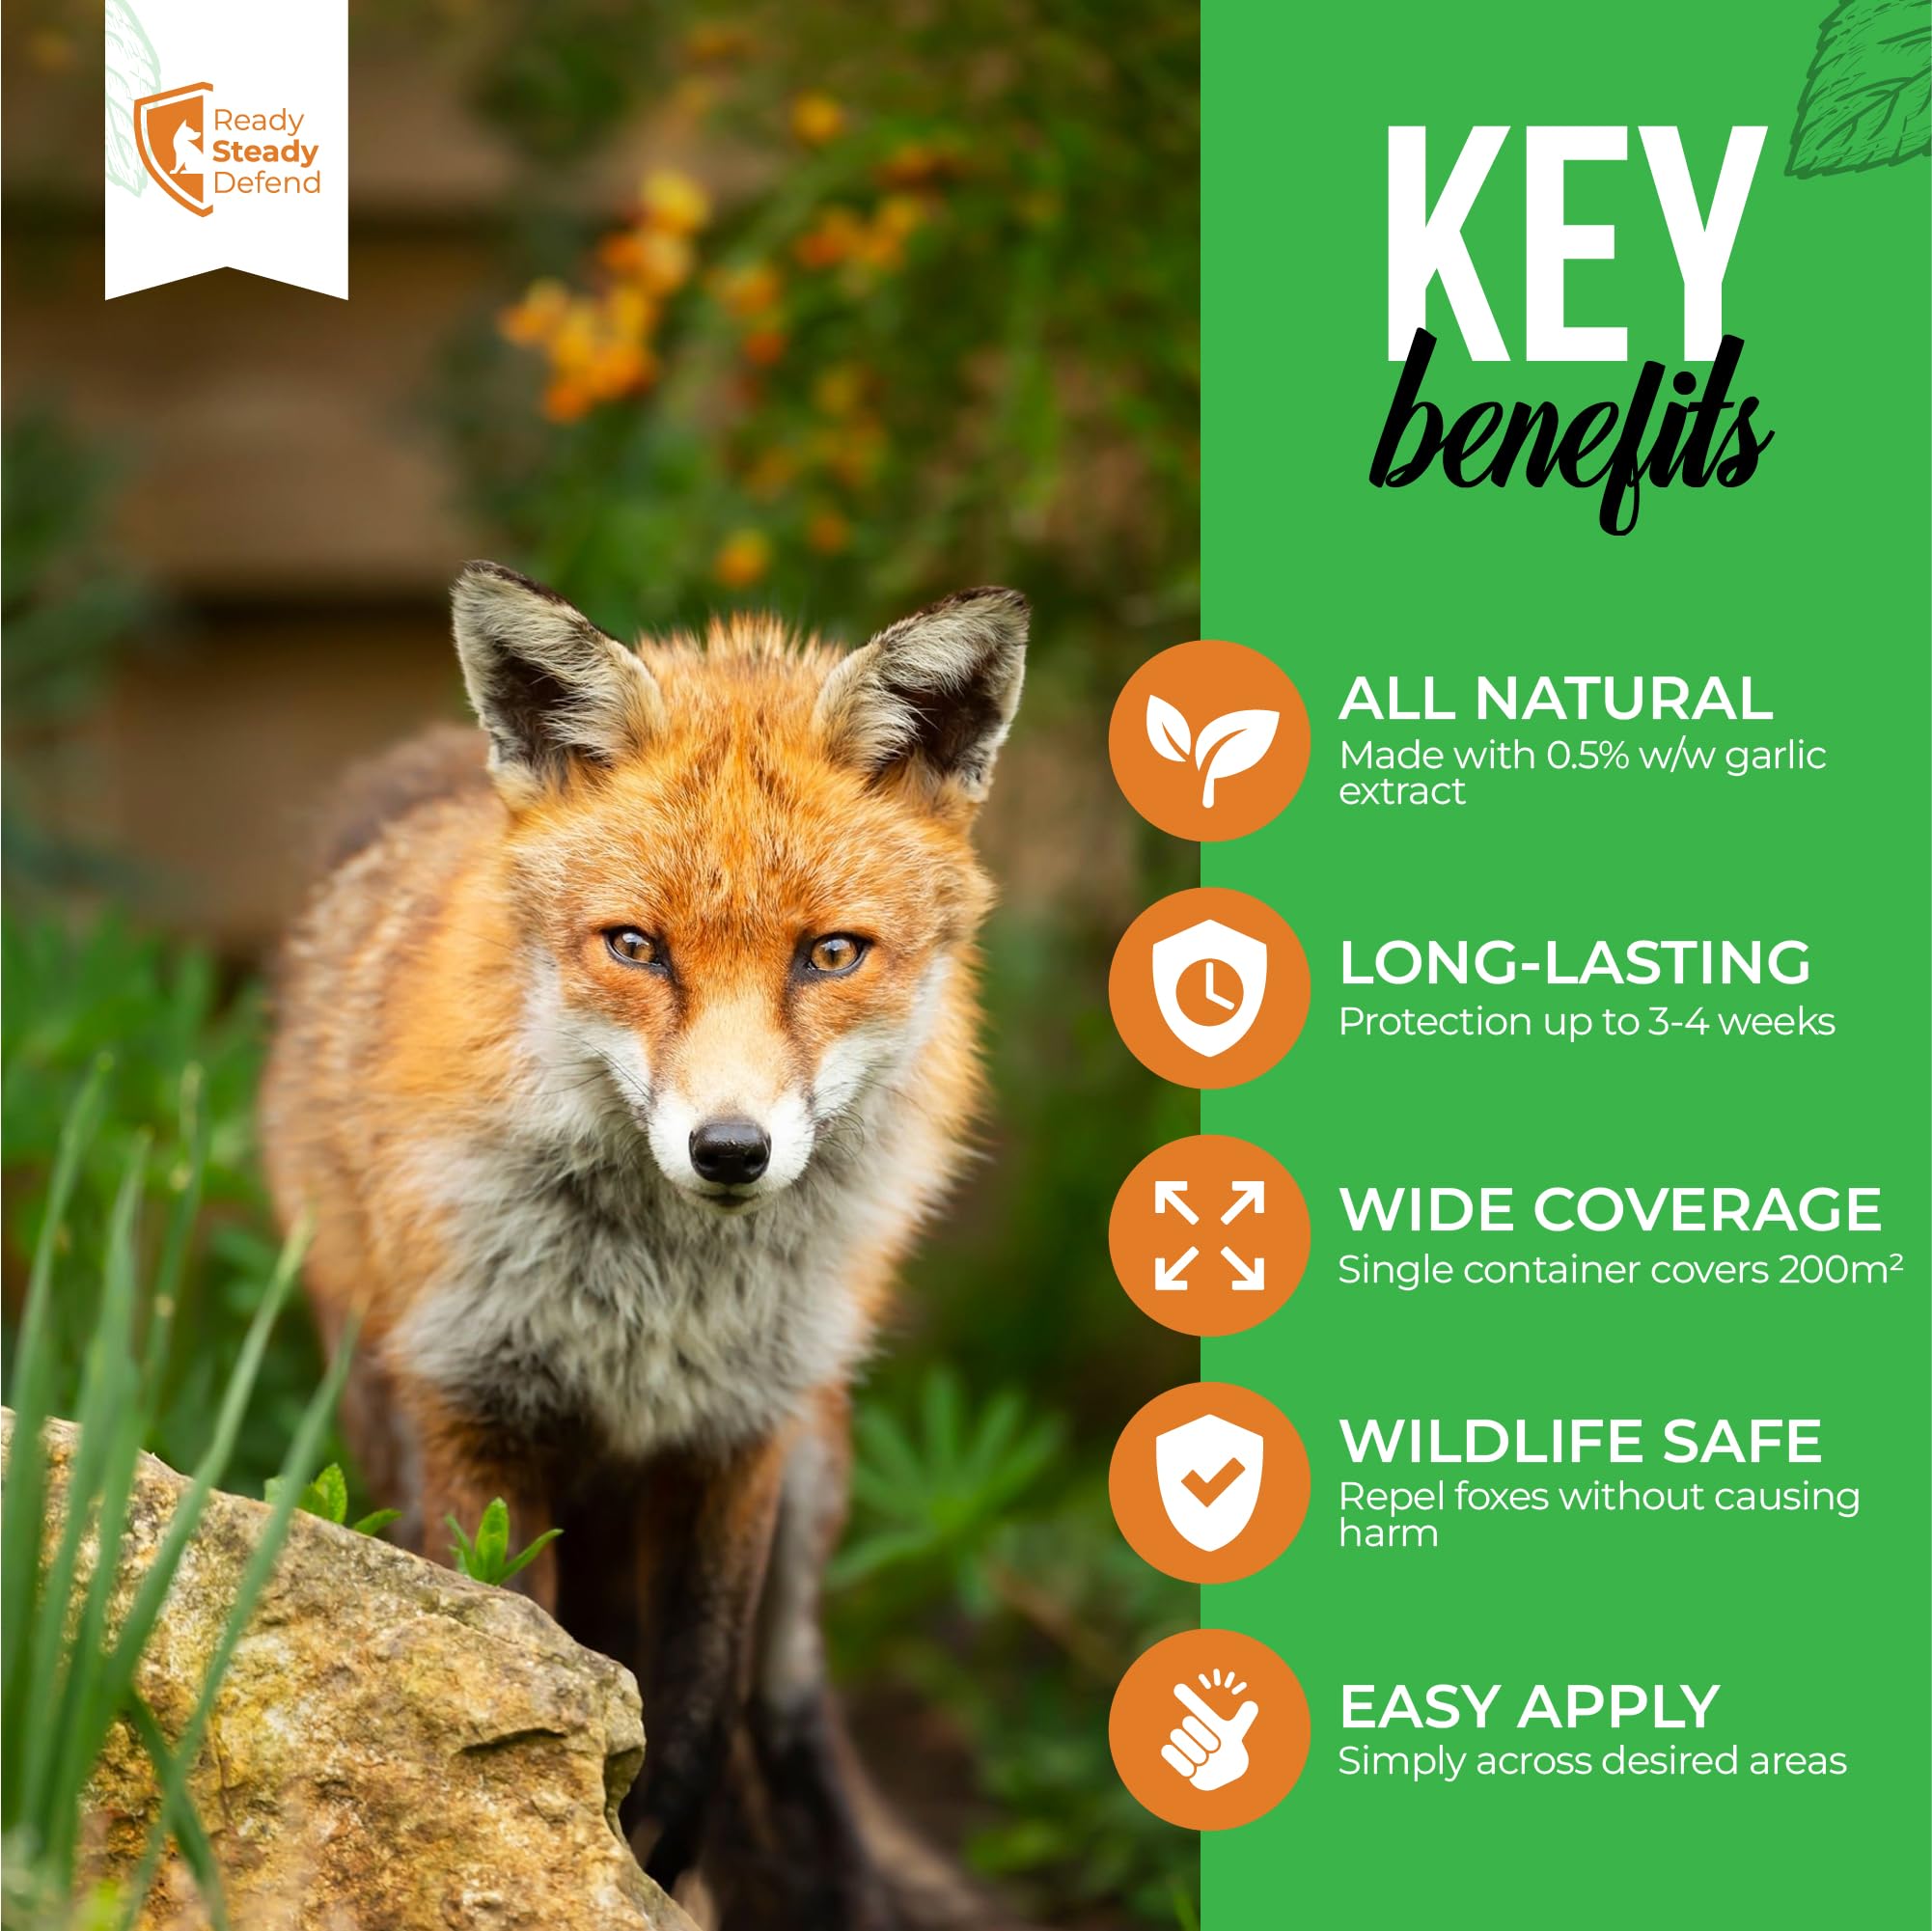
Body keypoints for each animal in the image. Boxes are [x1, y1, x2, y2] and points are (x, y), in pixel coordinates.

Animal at [261, 561, 1029, 1929]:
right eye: (635, 947)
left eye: (829, 954)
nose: (730, 1149)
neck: (660, 1300)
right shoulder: (473, 1408)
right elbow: (509, 1664)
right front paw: (560, 1838)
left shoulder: (741, 1434)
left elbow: (693, 1720)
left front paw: (651, 1859)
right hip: (378, 1417)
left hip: (816, 1489)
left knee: (794, 1727)